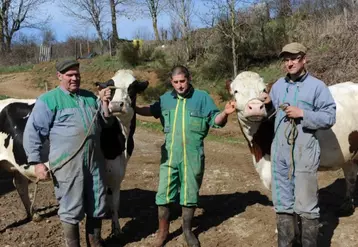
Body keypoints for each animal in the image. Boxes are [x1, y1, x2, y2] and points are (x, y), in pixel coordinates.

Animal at [227, 71, 358, 214]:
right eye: (236, 91)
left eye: (264, 90)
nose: (256, 107)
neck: (259, 150)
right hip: (349, 154)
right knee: (351, 176)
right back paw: (347, 205)